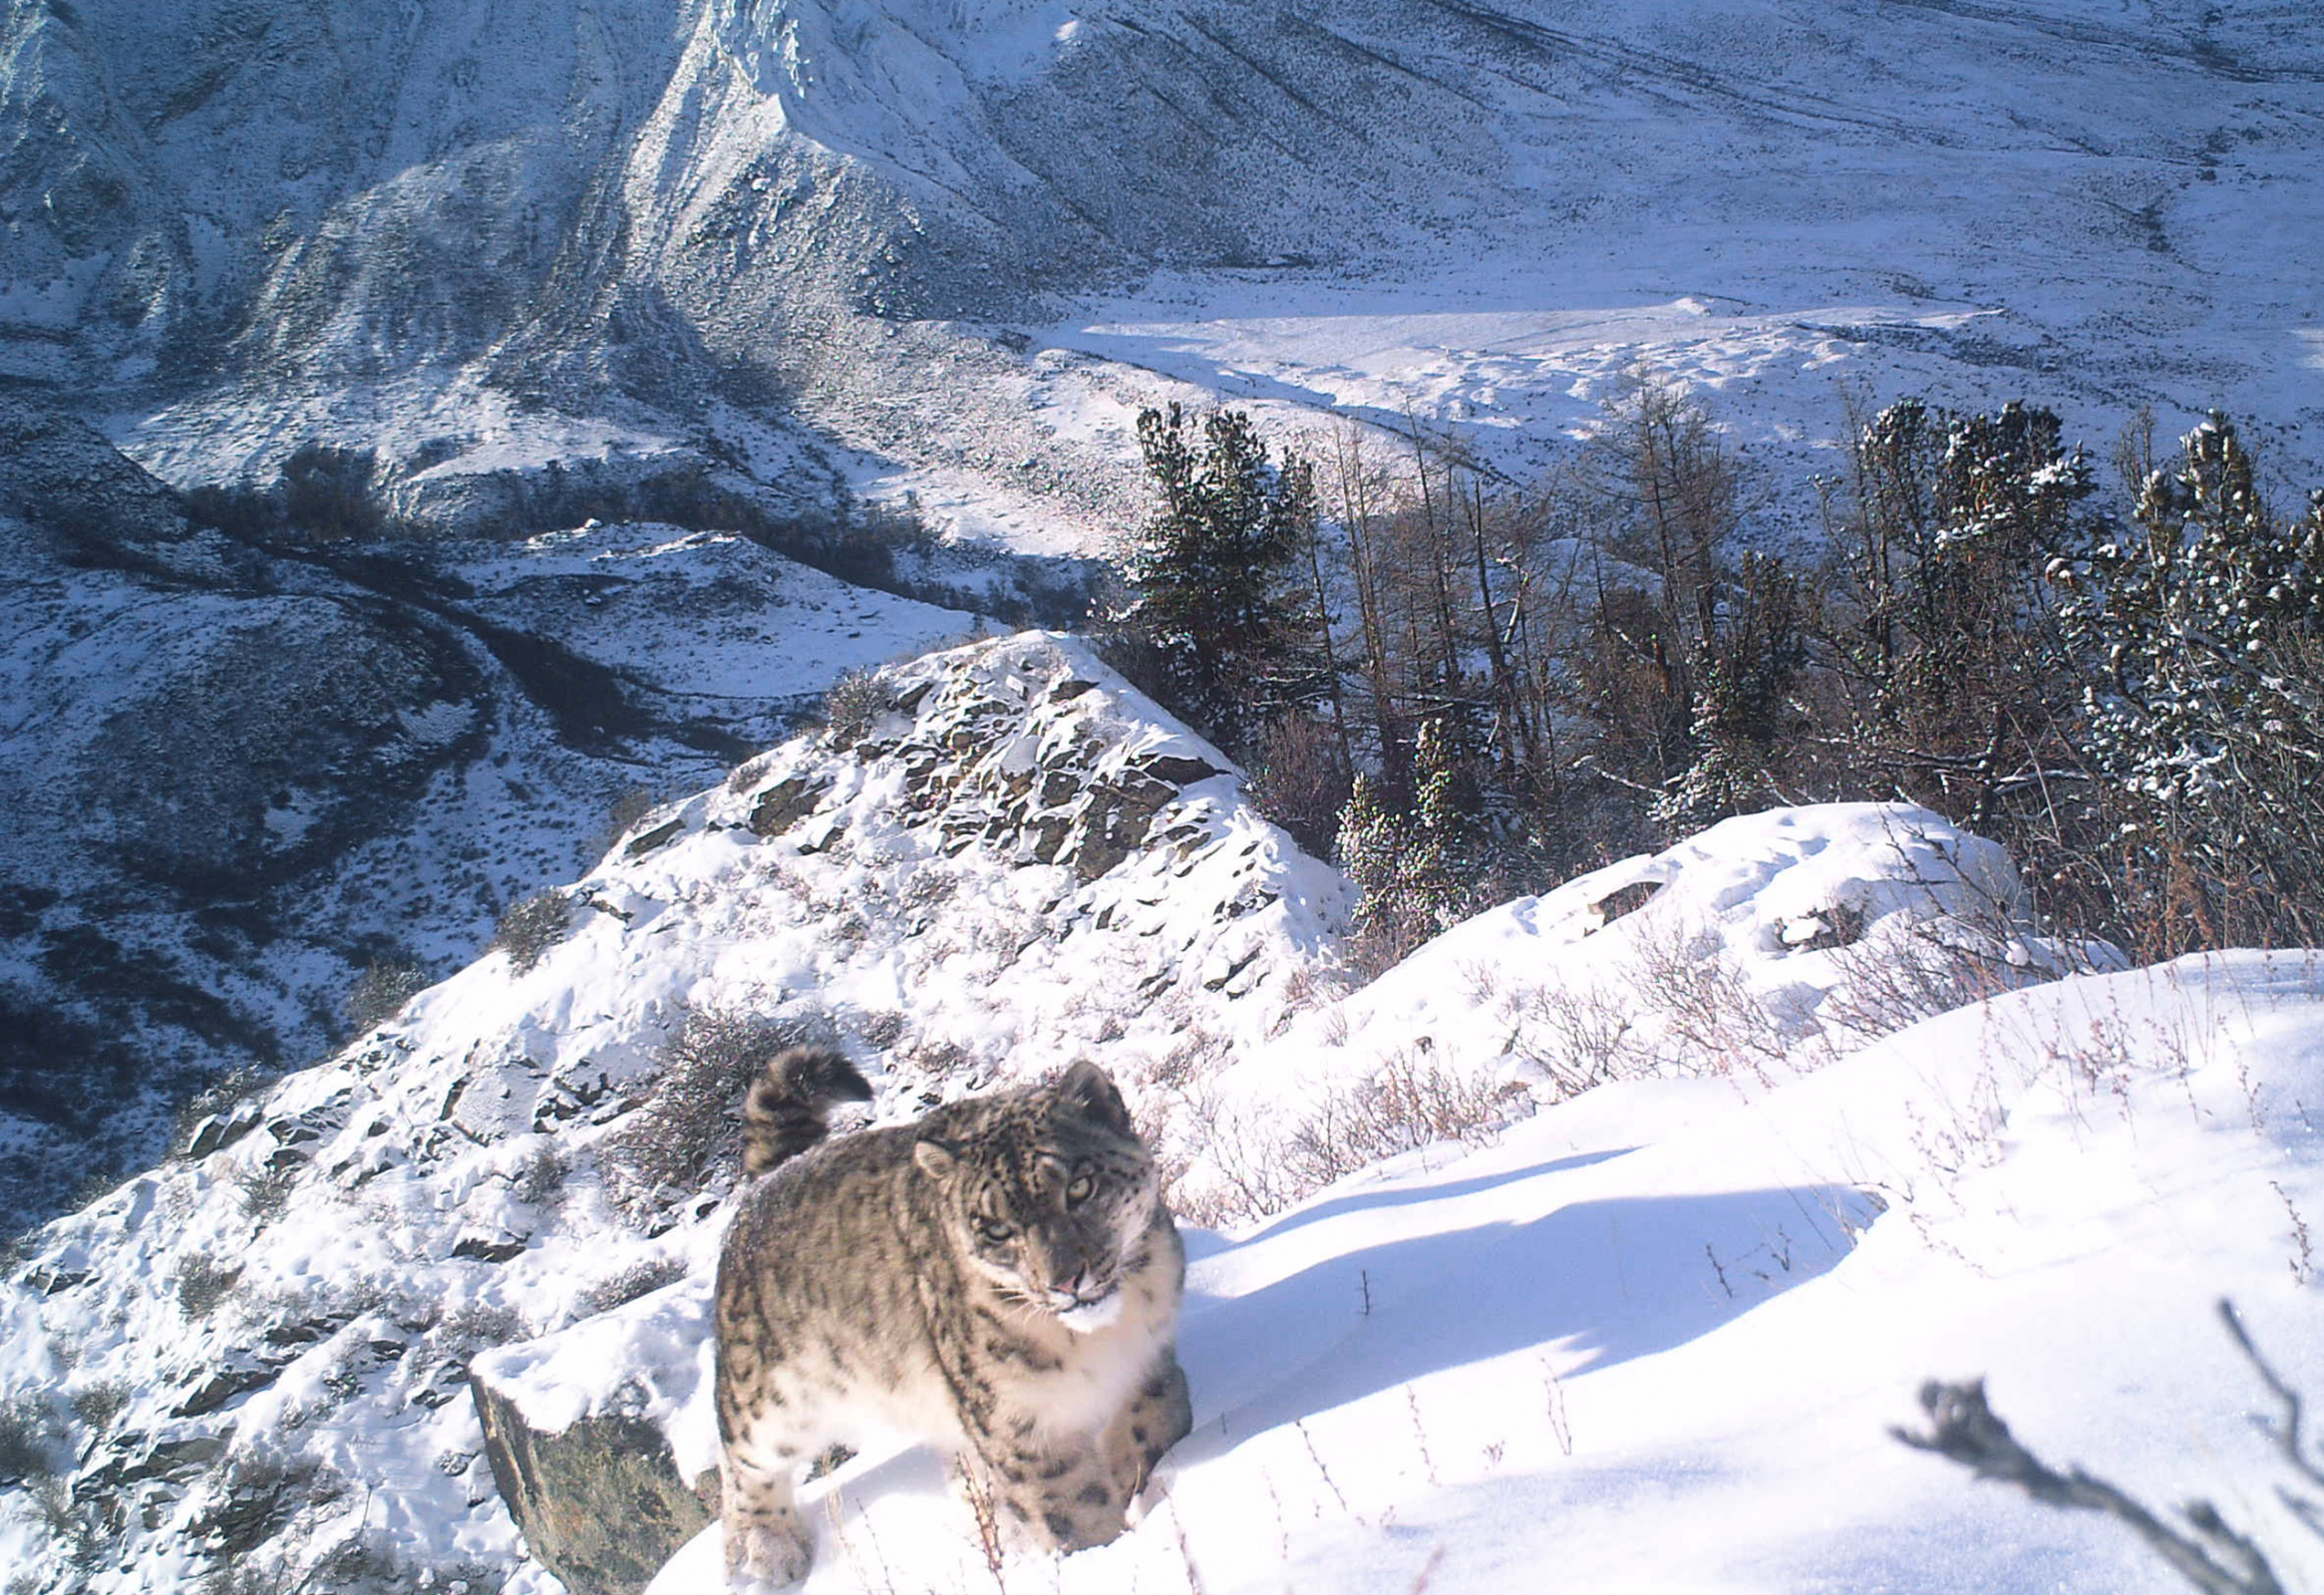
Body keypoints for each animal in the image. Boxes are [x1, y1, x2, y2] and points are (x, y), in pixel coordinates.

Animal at [711, 1055, 1189, 1590]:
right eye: (997, 1229)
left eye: (1080, 1186)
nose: (1066, 1280)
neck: (1099, 1343)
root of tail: (764, 1185)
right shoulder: (1019, 1426)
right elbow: (1069, 1509)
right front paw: (1105, 1558)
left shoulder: (1152, 1356)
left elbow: (1158, 1417)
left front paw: (1133, 1475)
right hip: (773, 1401)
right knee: (740, 1461)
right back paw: (767, 1552)